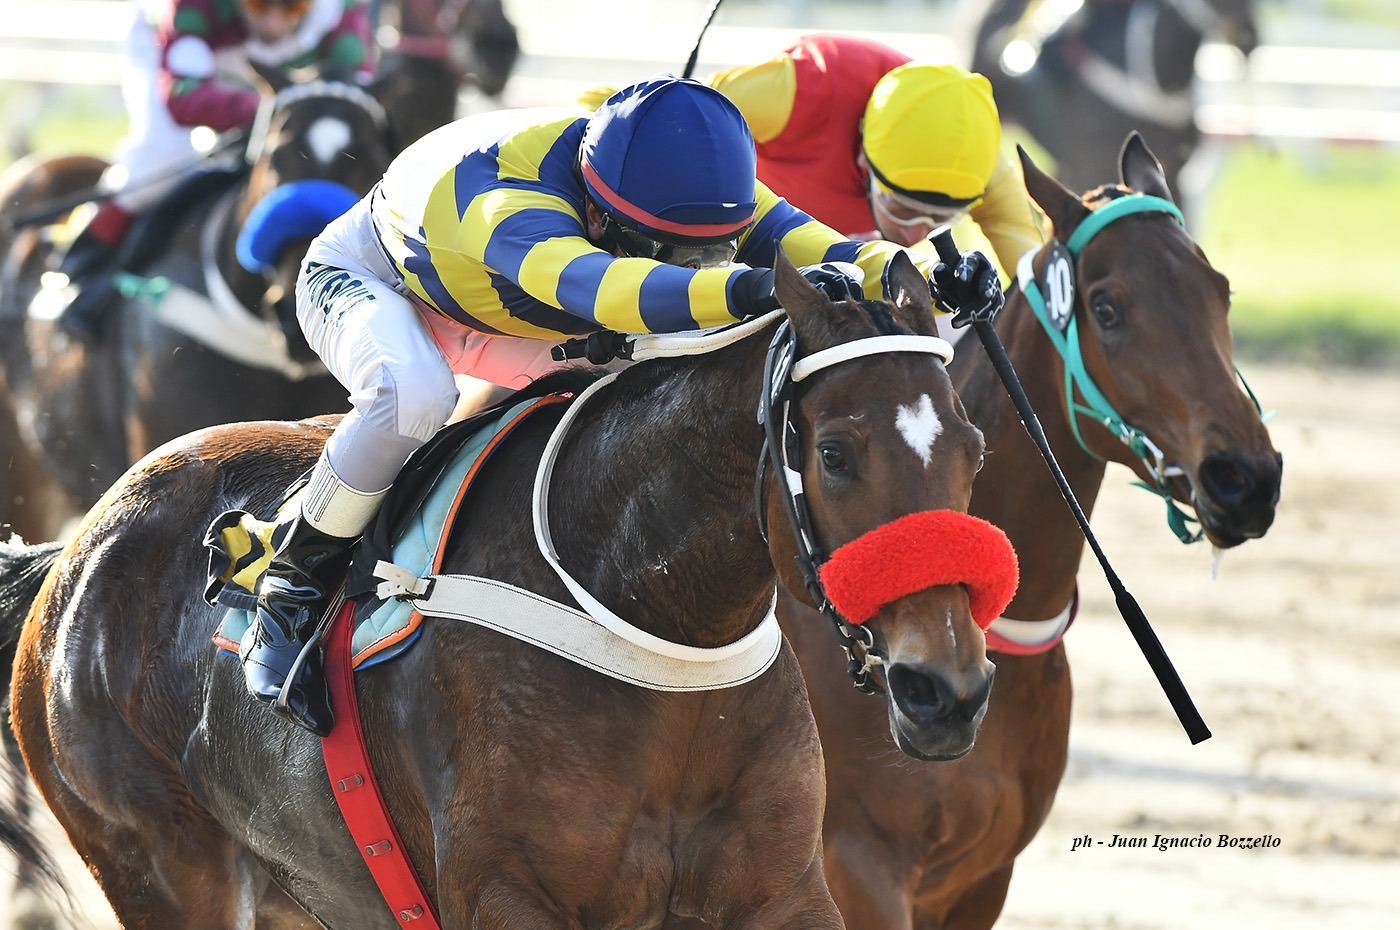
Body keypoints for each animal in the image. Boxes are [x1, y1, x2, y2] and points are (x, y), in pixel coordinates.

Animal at [0, 251, 1006, 929]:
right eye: (834, 454)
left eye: (973, 447)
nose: (945, 692)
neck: (653, 620)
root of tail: (77, 552)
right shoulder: (507, 891)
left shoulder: (785, 888)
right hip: (162, 860)